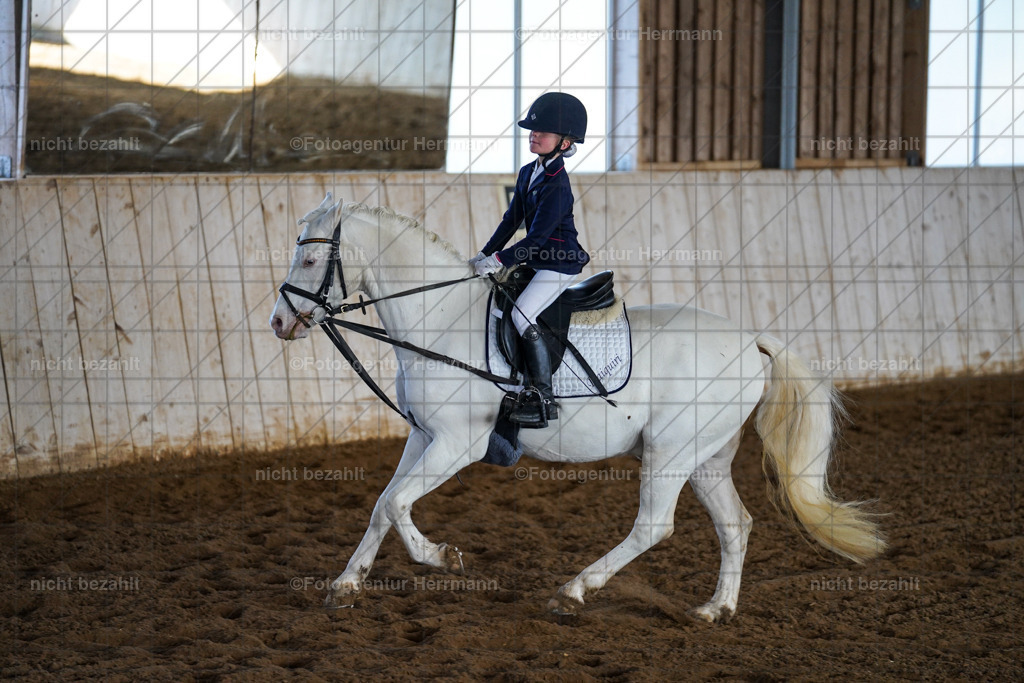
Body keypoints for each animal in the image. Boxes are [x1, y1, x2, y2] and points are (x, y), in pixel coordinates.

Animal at [269, 193, 886, 622]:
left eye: (310, 260)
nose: (279, 323)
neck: (439, 319)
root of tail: (750, 341)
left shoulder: (458, 443)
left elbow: (398, 504)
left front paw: (444, 558)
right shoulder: (422, 436)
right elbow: (382, 504)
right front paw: (346, 586)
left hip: (671, 451)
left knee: (654, 526)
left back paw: (572, 592)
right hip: (705, 457)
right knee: (735, 524)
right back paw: (715, 610)